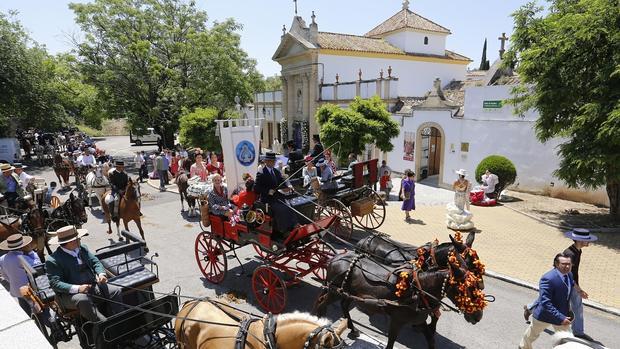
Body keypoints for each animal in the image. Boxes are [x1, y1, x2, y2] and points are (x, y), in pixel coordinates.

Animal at [314, 242, 484, 348]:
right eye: (466, 288)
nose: (478, 316)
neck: (418, 290)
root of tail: (335, 258)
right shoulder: (397, 321)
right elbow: (391, 341)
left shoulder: (419, 319)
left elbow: (430, 339)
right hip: (335, 292)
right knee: (322, 303)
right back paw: (321, 323)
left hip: (348, 293)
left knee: (343, 305)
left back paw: (352, 328)